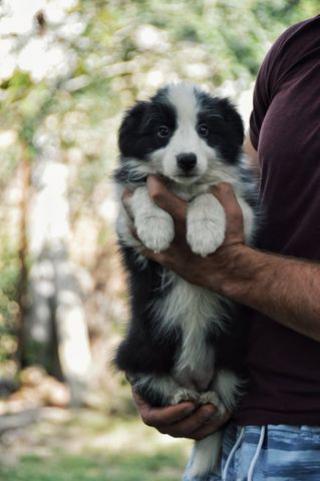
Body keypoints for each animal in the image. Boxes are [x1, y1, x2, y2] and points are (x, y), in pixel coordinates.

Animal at [114, 83, 256, 476]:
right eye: (162, 131)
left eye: (205, 129)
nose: (187, 160)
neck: (184, 190)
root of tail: (196, 379)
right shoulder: (125, 226)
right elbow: (144, 190)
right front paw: (157, 229)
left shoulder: (246, 216)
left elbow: (212, 194)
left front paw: (204, 233)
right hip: (138, 348)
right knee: (151, 382)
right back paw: (179, 394)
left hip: (233, 360)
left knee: (221, 408)